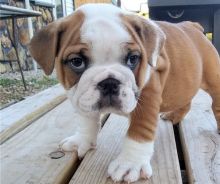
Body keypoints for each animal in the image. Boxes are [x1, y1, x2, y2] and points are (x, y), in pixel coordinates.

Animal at [28, 3, 220, 183]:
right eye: (77, 62)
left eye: (133, 59)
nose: (109, 82)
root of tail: (193, 26)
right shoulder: (83, 100)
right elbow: (86, 121)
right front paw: (82, 140)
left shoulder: (147, 97)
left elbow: (139, 131)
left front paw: (130, 164)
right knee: (186, 99)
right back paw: (174, 116)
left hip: (214, 79)